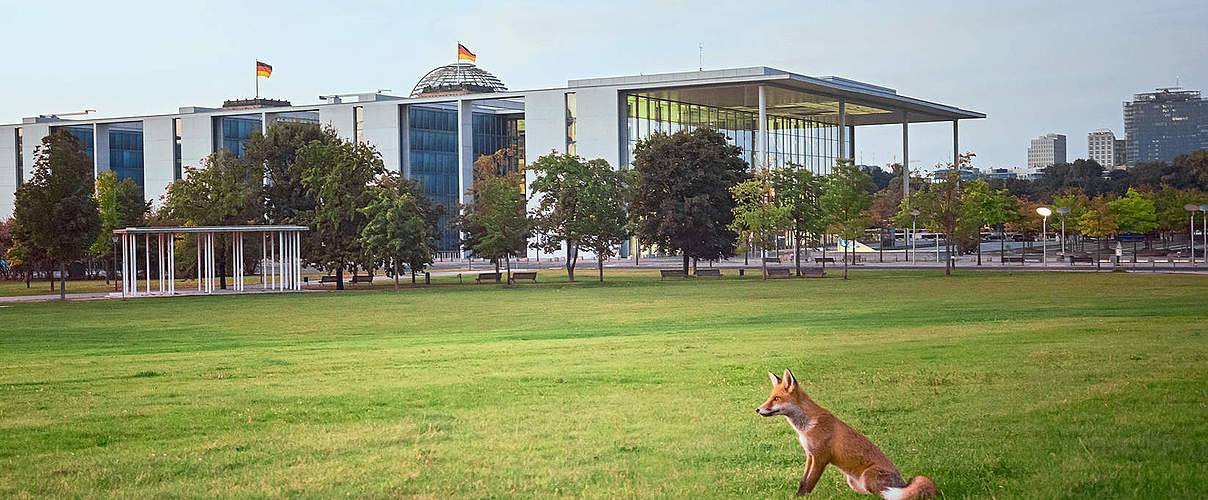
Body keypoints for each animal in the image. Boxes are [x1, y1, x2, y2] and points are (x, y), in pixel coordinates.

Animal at [753, 369, 942, 497]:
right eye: (770, 397)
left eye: (776, 398)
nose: (758, 409)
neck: (805, 427)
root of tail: (902, 484)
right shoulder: (810, 455)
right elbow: (803, 481)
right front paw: (797, 496)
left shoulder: (821, 457)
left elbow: (809, 483)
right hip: (853, 482)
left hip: (869, 477)